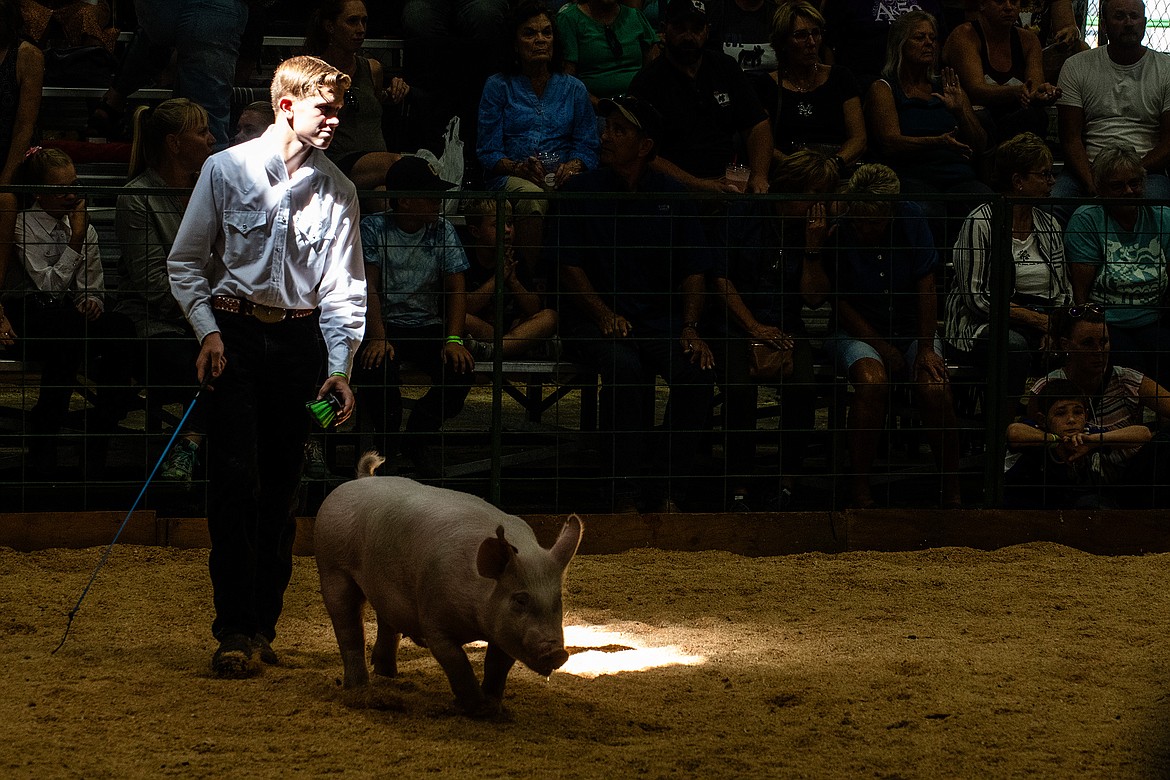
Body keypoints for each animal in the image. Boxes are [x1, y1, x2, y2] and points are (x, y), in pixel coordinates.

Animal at [313, 453, 582, 715]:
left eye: (558, 600)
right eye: (520, 599)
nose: (557, 652)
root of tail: (361, 479)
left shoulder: (503, 631)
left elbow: (497, 666)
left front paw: (494, 706)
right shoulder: (434, 620)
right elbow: (457, 663)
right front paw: (477, 707)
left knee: (387, 622)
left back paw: (388, 675)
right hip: (332, 567)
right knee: (348, 628)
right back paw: (359, 688)